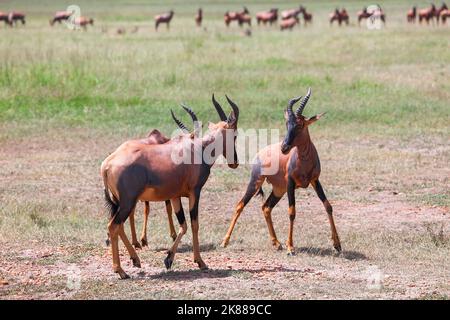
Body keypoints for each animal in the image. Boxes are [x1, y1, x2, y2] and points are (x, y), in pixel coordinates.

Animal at [100, 94, 241, 278]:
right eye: (235, 134)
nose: (234, 163)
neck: (197, 148)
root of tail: (107, 164)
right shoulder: (195, 193)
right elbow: (194, 224)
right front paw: (200, 262)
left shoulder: (175, 196)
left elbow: (183, 225)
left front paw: (169, 259)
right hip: (127, 202)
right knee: (113, 226)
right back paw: (121, 271)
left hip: (121, 202)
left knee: (118, 226)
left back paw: (135, 260)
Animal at [221, 89, 342, 256]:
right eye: (287, 123)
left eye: (300, 124)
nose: (284, 147)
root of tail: (260, 153)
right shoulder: (291, 183)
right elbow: (292, 211)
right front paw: (290, 247)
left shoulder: (315, 181)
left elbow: (328, 206)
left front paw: (337, 244)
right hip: (256, 182)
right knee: (240, 205)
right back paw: (225, 241)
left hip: (279, 189)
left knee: (266, 207)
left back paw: (276, 243)